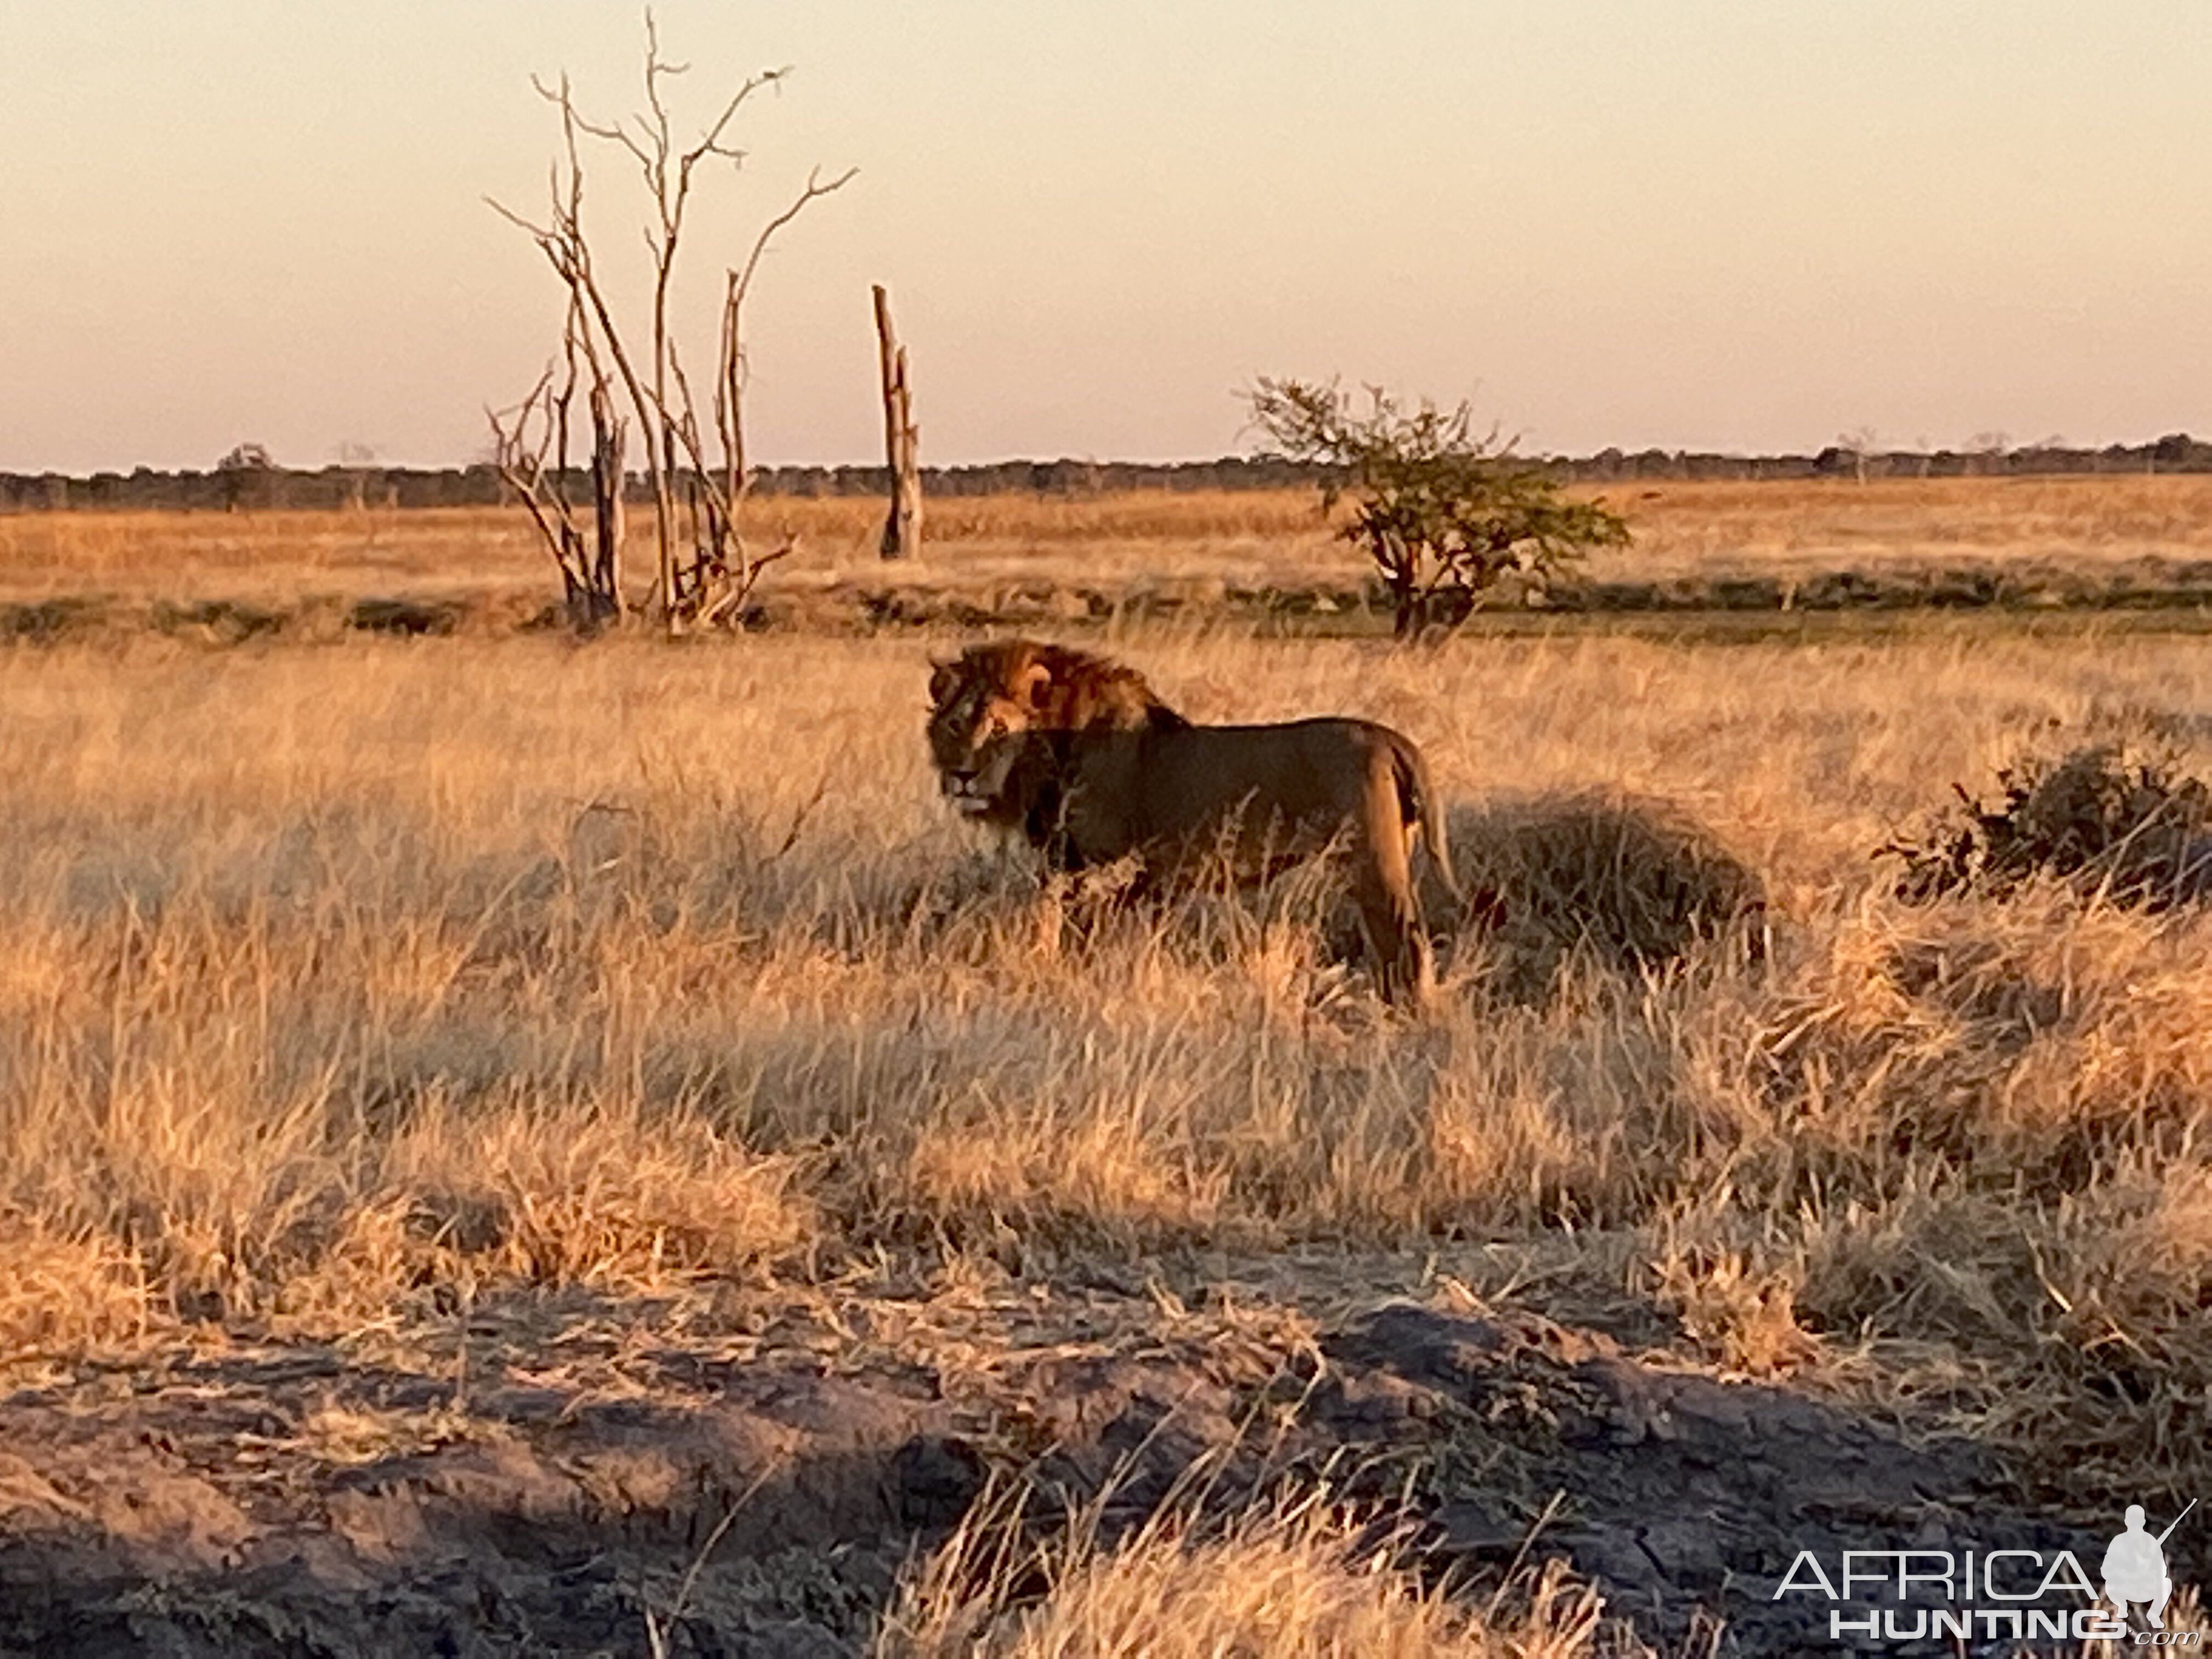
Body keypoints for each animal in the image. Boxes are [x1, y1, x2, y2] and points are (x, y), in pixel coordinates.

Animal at [924, 633, 1460, 1000]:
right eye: (955, 725)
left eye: (999, 728)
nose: (964, 776)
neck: (1050, 755)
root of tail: (1391, 738)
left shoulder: (1104, 869)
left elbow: (1083, 938)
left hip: (1374, 864)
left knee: (1406, 940)